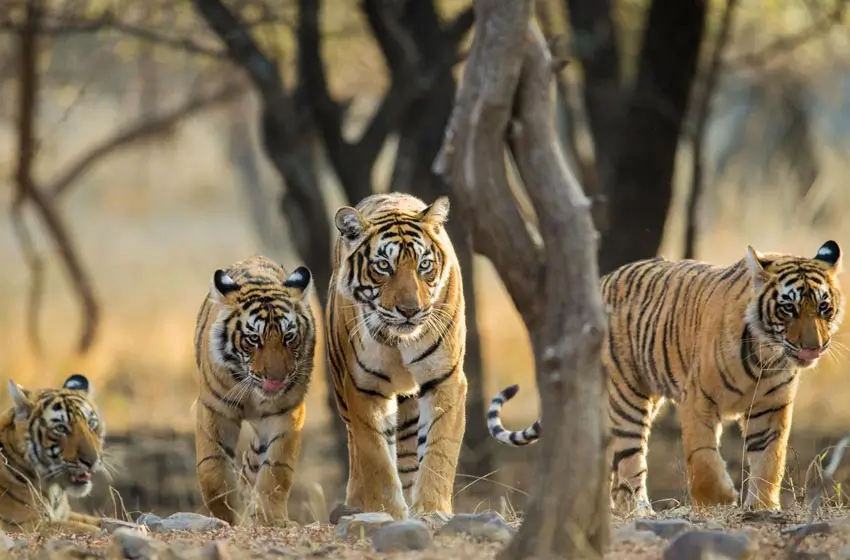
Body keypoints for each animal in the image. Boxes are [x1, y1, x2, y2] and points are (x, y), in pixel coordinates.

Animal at [0, 374, 105, 534]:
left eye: (91, 423)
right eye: (61, 428)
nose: (92, 461)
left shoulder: (66, 514)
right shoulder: (27, 525)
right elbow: (84, 528)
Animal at [193, 255, 316, 527]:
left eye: (289, 337)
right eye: (253, 339)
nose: (277, 379)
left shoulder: (286, 413)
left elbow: (276, 469)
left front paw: (269, 519)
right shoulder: (214, 409)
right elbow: (212, 469)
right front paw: (228, 516)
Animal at [326, 192, 468, 520]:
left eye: (424, 265)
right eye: (383, 266)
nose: (410, 310)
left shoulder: (445, 379)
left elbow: (439, 449)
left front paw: (432, 510)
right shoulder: (364, 387)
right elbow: (376, 457)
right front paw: (385, 511)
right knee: (356, 449)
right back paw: (355, 503)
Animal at [486, 240, 844, 515]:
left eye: (823, 308)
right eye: (788, 308)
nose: (814, 347)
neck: (766, 356)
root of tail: (601, 281)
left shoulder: (771, 409)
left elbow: (770, 459)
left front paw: (763, 507)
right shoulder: (698, 400)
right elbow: (702, 456)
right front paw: (718, 500)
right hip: (626, 398)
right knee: (630, 462)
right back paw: (639, 511)